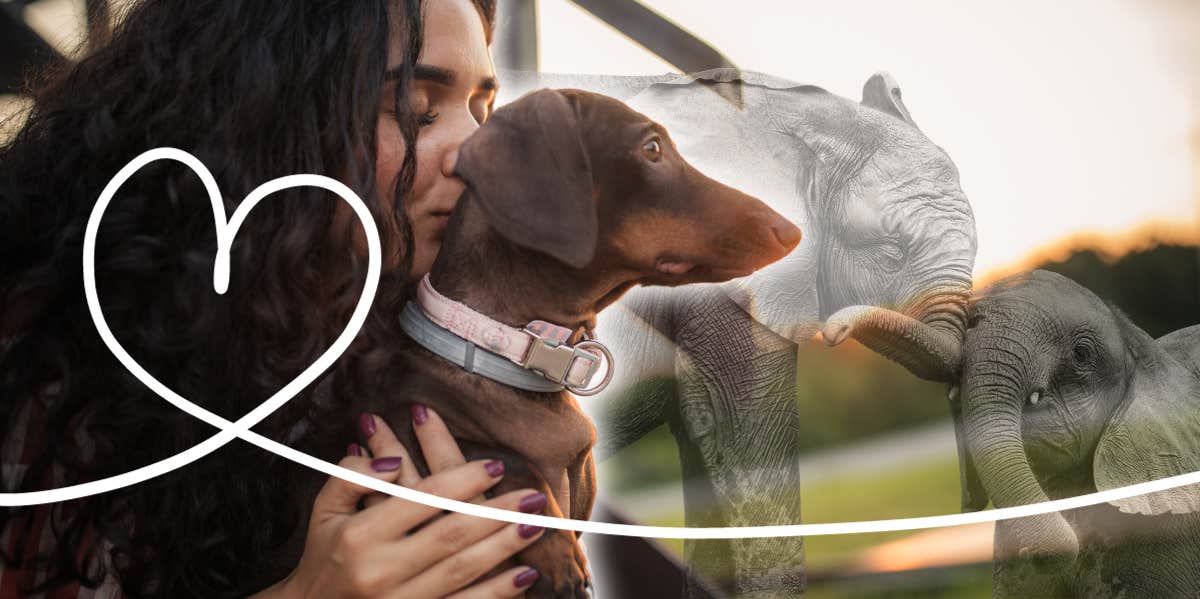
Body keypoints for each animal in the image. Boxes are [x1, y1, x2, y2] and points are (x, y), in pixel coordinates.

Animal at [360, 90, 801, 599]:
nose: (792, 232)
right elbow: (501, 457)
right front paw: (557, 553)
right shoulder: (395, 437)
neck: (510, 352)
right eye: (652, 148)